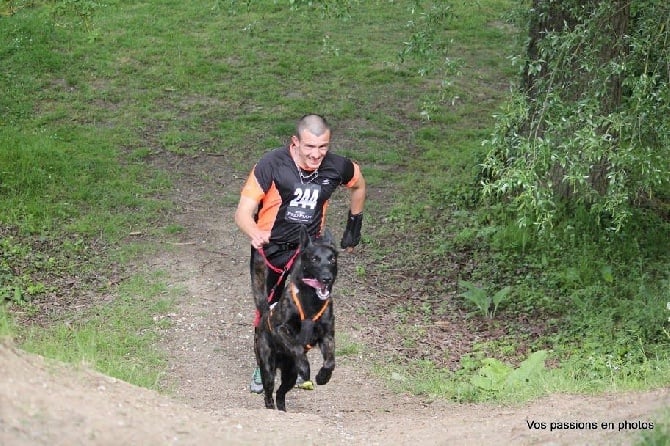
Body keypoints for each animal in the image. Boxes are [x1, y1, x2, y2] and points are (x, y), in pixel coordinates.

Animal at [255, 226, 338, 412]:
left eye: (332, 259)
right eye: (314, 259)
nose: (327, 278)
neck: (311, 300)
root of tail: (264, 314)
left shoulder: (327, 335)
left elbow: (330, 361)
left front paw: (323, 376)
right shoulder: (281, 329)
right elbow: (297, 347)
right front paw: (306, 368)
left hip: (290, 376)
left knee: (281, 392)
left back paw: (282, 409)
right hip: (267, 367)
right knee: (269, 392)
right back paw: (271, 407)